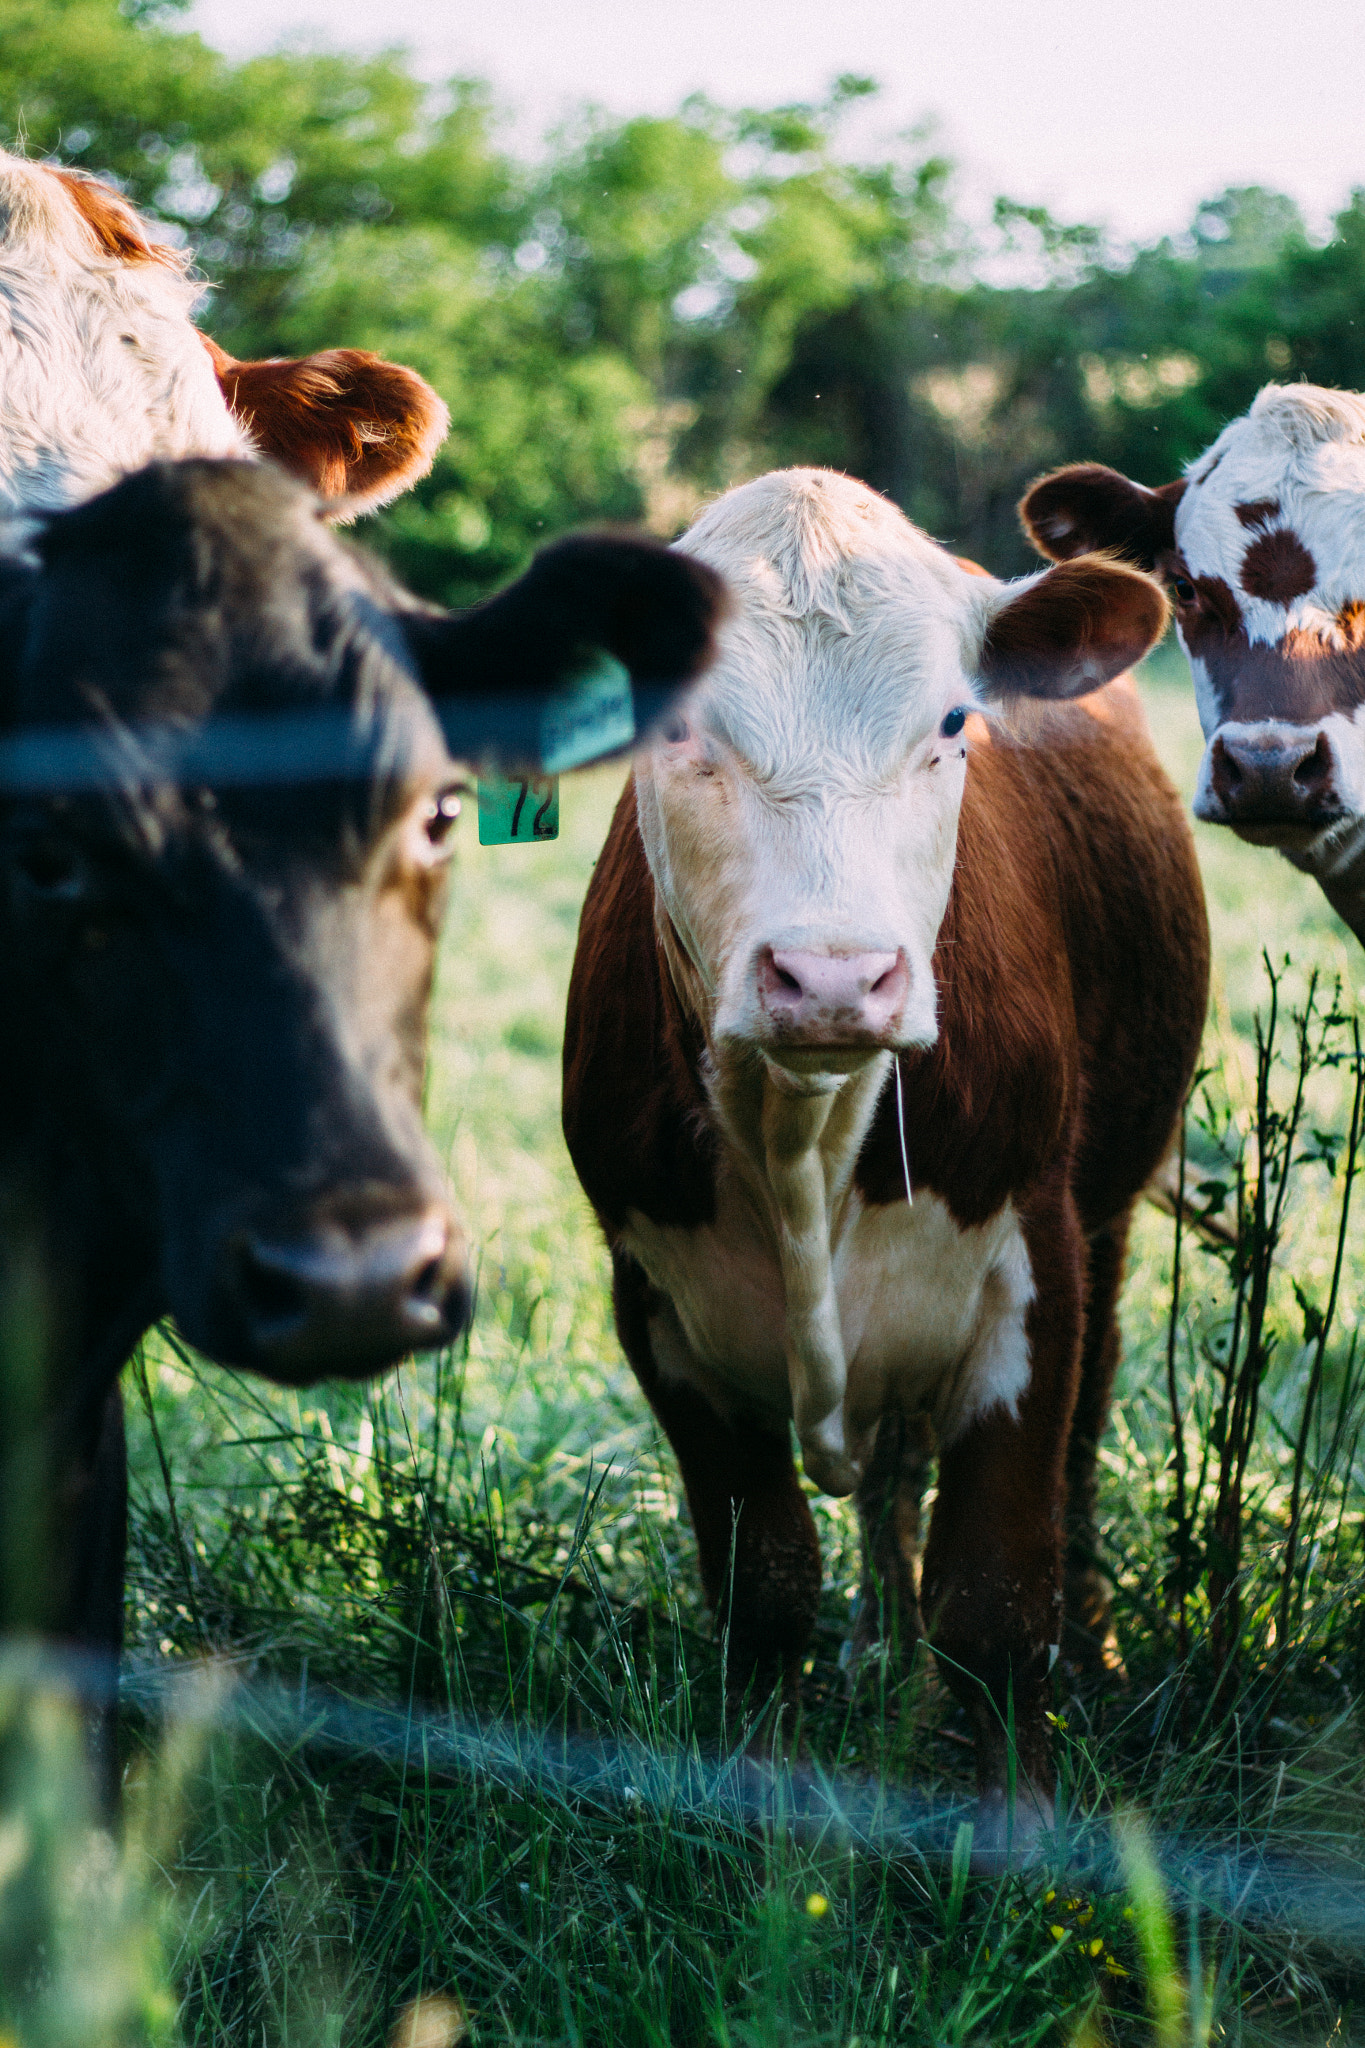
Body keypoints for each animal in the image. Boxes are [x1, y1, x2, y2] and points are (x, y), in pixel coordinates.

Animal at [562, 468, 1209, 1864]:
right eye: (681, 727)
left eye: (954, 723)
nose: (833, 976)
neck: (803, 1131)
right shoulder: (656, 1300)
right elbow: (764, 1581)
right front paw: (759, 1793)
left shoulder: (1033, 1264)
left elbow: (996, 1590)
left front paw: (1019, 1833)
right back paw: (876, 1649)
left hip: (1111, 1222)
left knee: (1076, 1449)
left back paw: (1094, 1646)